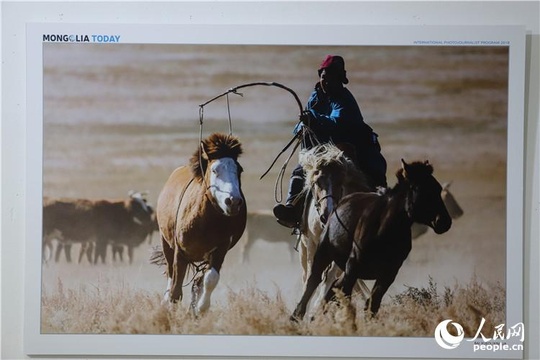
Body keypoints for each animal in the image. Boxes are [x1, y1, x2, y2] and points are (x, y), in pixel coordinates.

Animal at [292, 159, 452, 322]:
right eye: (420, 189)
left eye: (438, 188)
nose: (444, 221)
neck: (384, 230)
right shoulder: (352, 267)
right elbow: (346, 297)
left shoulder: (388, 274)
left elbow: (372, 304)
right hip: (323, 253)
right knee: (313, 281)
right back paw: (298, 316)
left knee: (333, 286)